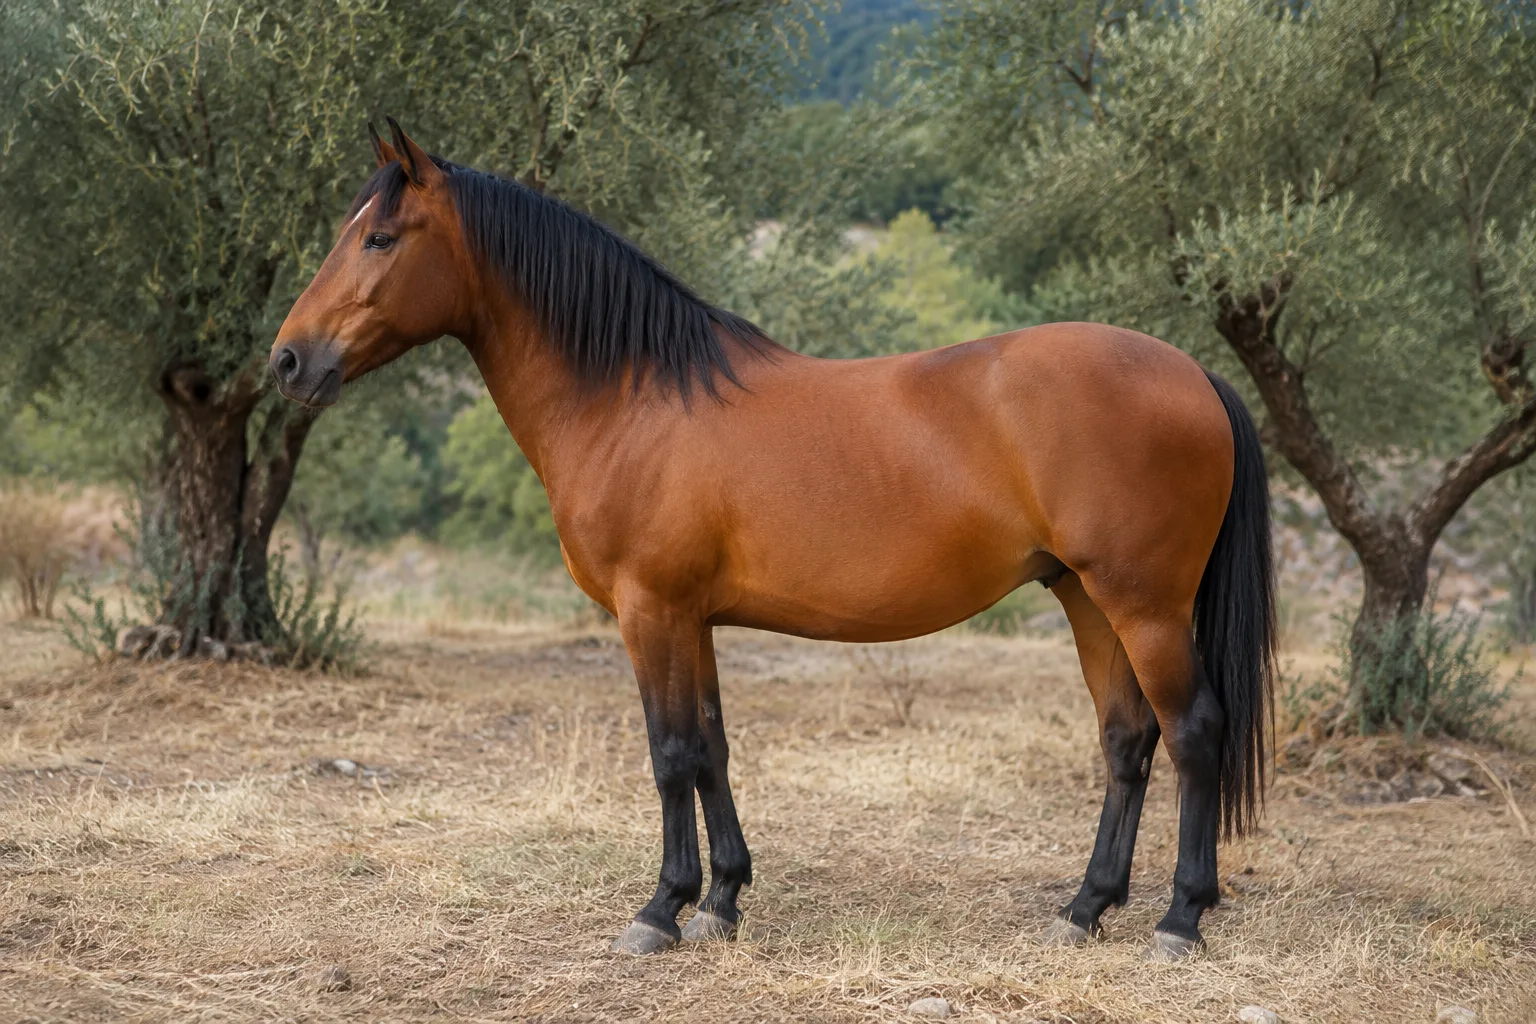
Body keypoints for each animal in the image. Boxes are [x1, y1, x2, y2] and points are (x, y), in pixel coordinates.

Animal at [270, 119, 1276, 961]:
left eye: (380, 238)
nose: (287, 360)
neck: (633, 398)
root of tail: (1197, 374)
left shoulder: (650, 611)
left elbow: (670, 753)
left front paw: (659, 911)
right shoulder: (693, 619)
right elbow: (712, 748)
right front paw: (720, 901)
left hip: (1144, 604)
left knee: (1193, 733)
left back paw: (1179, 919)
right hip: (1085, 597)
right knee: (1127, 741)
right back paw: (1085, 908)